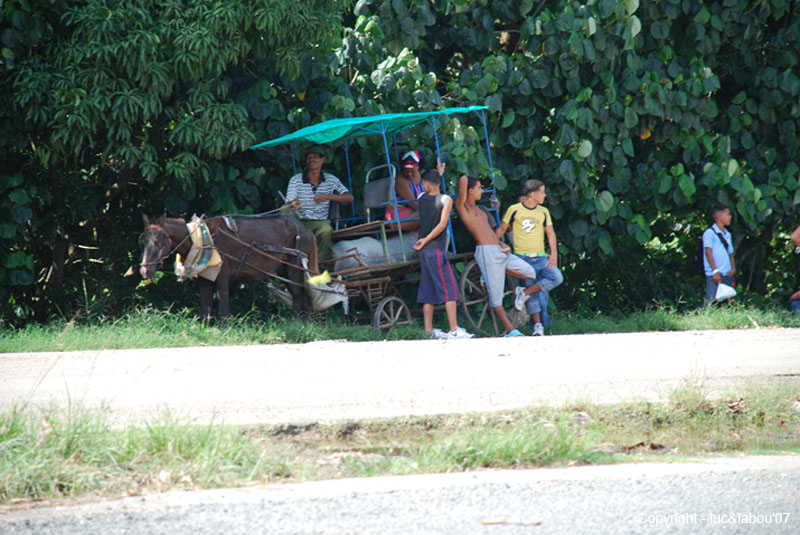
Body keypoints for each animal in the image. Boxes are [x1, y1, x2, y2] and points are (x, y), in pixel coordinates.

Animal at [141, 215, 318, 322]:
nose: (144, 271)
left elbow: (223, 302)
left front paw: (224, 329)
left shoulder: (222, 275)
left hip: (295, 267)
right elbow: (205, 305)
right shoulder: (204, 279)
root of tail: (307, 230)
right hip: (283, 270)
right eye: (141, 241)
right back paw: (307, 324)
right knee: (305, 295)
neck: (202, 239)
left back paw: (296, 323)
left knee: (297, 293)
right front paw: (205, 328)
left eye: (158, 242)